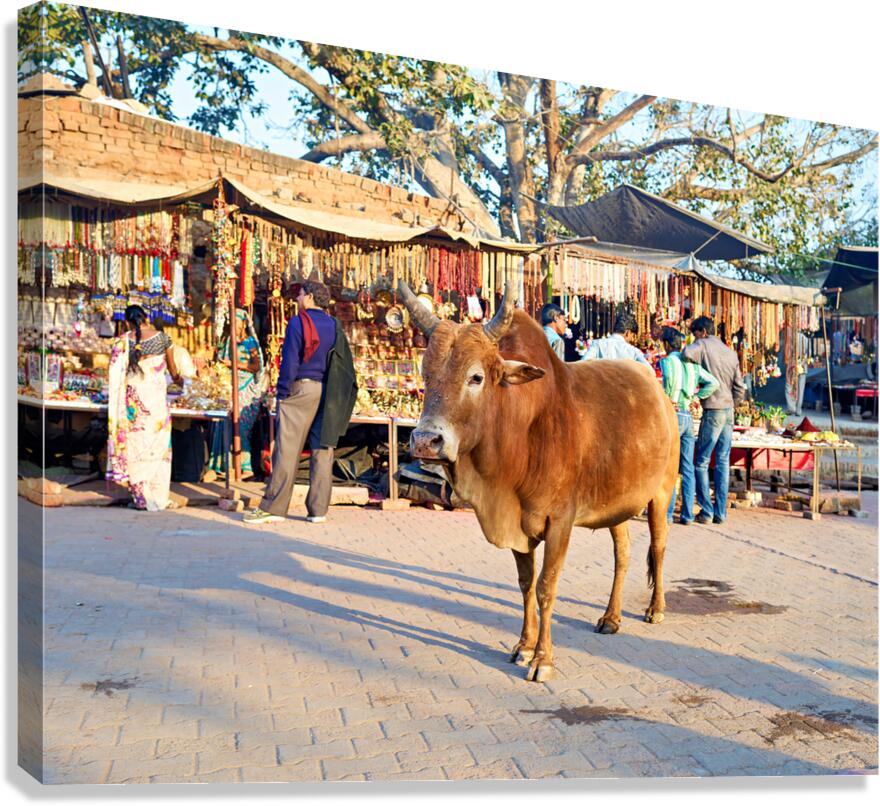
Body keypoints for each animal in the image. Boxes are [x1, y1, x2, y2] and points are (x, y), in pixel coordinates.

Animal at [398, 281, 679, 683]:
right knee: (622, 554)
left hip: (661, 493)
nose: (425, 441)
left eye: (475, 377)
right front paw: (523, 646)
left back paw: (655, 609)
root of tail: (658, 393)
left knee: (658, 548)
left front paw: (543, 659)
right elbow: (526, 584)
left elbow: (547, 586)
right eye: (425, 375)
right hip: (617, 505)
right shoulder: (518, 523)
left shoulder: (559, 521)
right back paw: (611, 618)